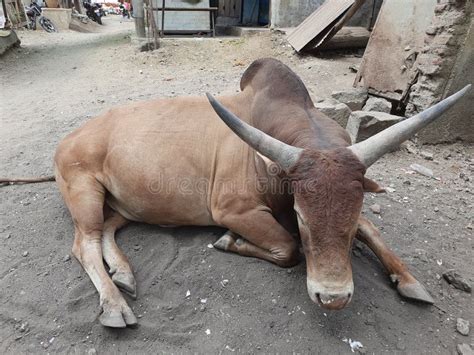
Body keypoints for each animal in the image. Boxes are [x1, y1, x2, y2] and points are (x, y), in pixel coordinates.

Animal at [52, 58, 470, 328]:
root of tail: (68, 139)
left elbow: (372, 228)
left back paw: (123, 273)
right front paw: (230, 242)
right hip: (84, 192)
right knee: (84, 243)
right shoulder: (234, 211)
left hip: (126, 204)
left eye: (350, 218)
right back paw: (114, 304)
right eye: (301, 216)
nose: (332, 298)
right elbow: (289, 247)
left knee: (106, 231)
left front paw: (407, 277)